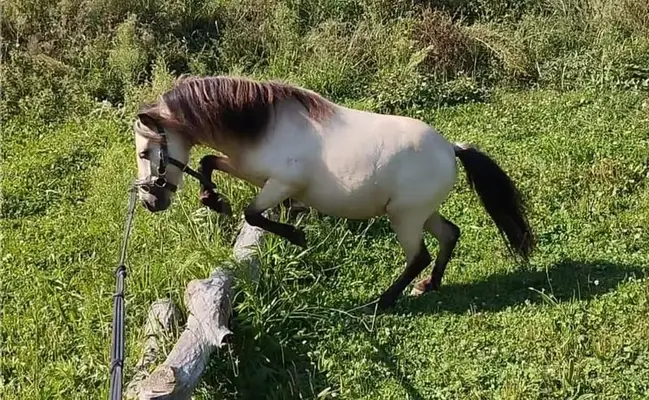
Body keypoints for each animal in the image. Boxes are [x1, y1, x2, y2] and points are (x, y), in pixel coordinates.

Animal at [132, 75, 534, 311]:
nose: (151, 201)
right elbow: (209, 163)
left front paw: (296, 235)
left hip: (404, 217)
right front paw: (213, 200)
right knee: (450, 235)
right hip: (421, 213)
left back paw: (383, 301)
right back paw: (428, 286)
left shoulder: (281, 184)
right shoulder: (251, 171)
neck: (263, 125)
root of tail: (452, 148)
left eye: (144, 152)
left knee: (419, 255)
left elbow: (253, 214)